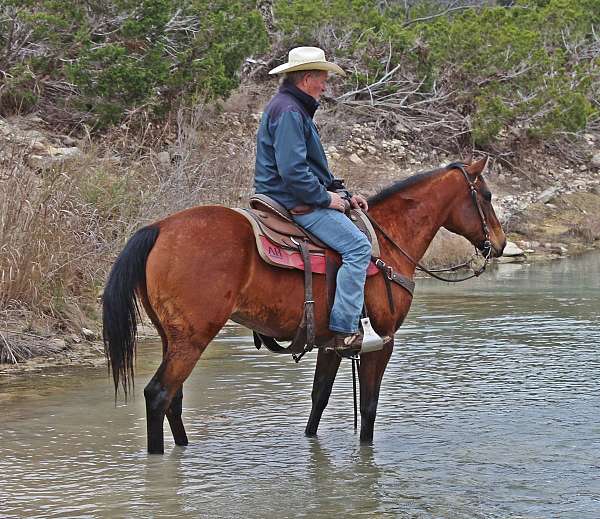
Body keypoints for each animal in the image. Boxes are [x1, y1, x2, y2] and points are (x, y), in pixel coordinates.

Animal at [103, 158, 506, 456]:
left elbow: (319, 399)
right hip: (192, 339)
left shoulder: (332, 343)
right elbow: (370, 409)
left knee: (174, 399)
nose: (500, 244)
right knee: (158, 395)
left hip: (172, 338)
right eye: (486, 195)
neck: (390, 244)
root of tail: (157, 228)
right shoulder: (381, 342)